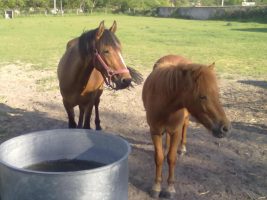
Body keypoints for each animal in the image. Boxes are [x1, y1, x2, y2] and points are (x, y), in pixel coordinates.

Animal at [142, 54, 232, 198]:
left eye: (217, 94)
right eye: (202, 96)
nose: (225, 128)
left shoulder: (176, 131)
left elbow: (172, 158)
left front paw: (170, 189)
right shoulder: (155, 131)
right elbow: (159, 158)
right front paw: (156, 187)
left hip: (185, 120)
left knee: (185, 127)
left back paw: (182, 148)